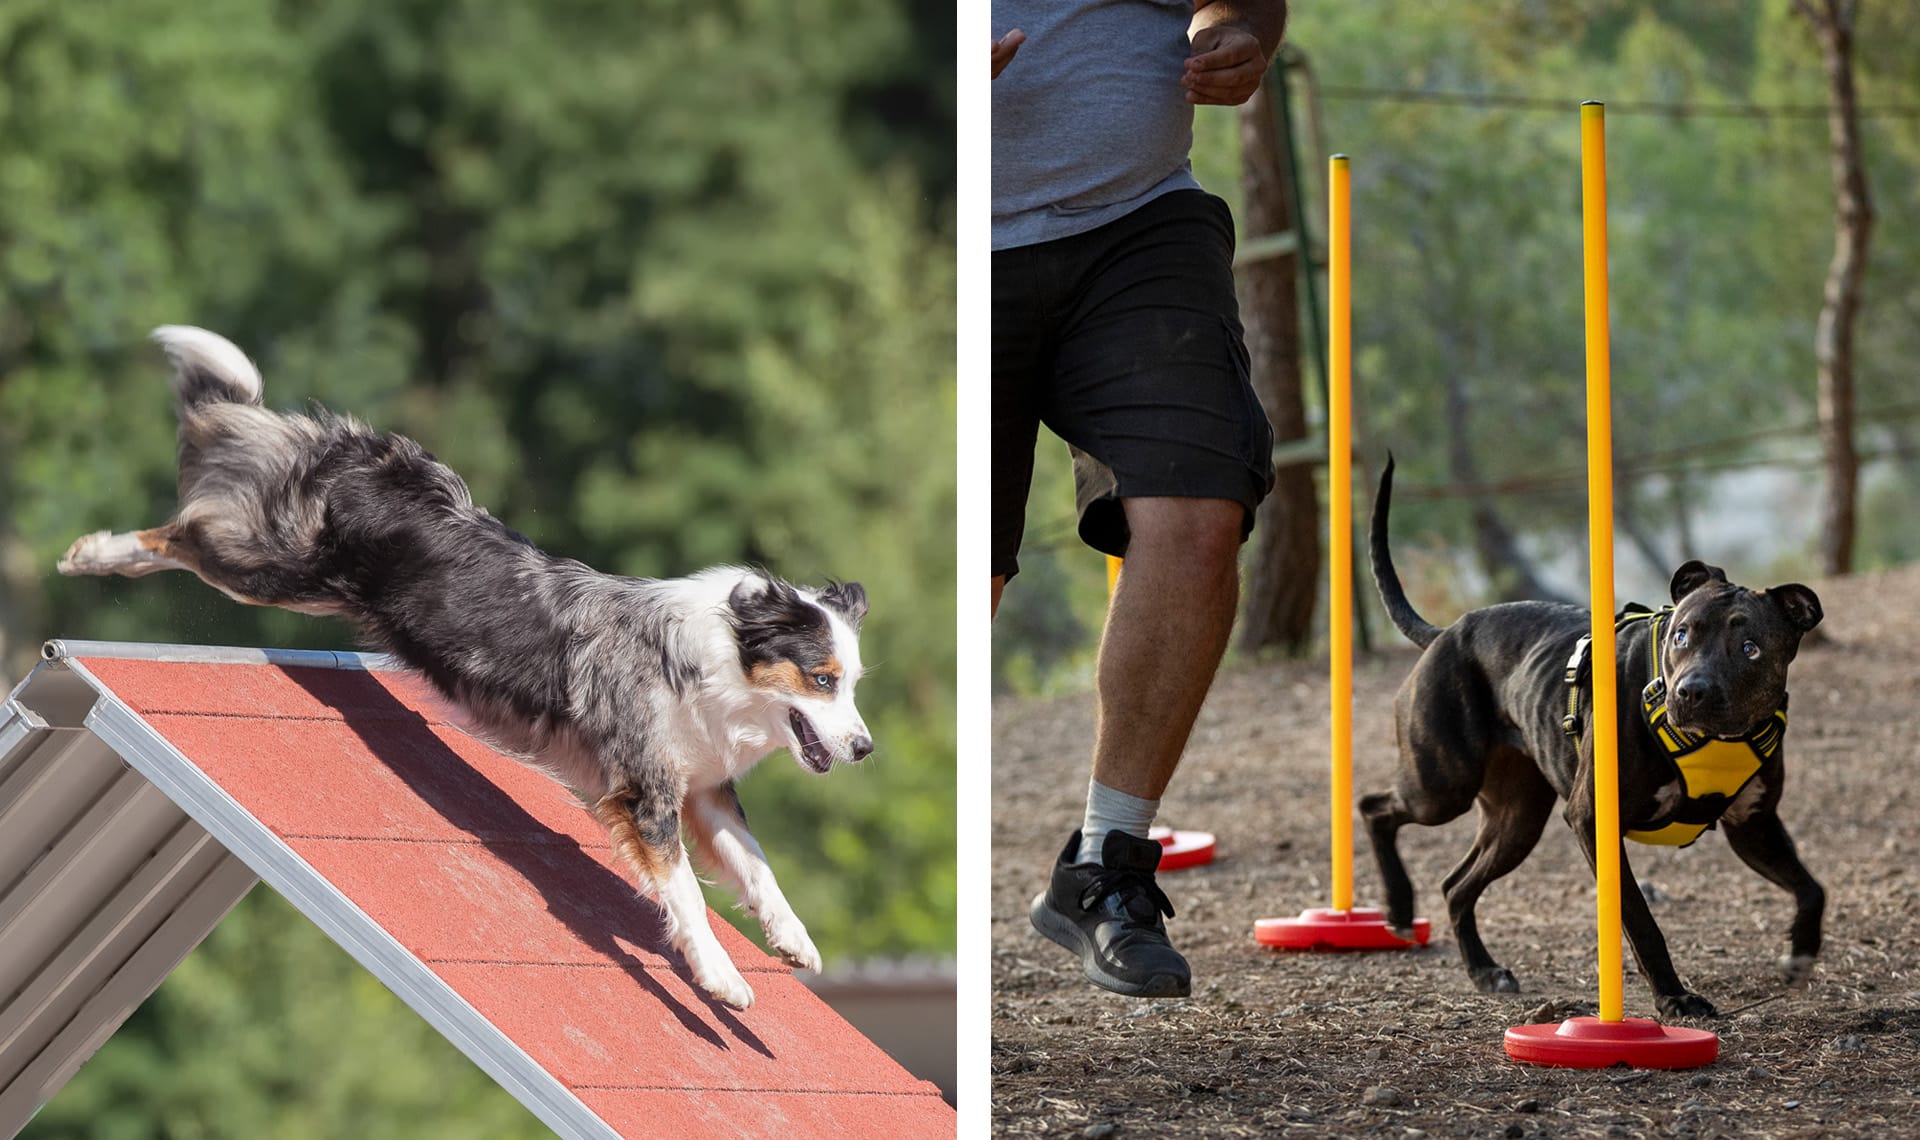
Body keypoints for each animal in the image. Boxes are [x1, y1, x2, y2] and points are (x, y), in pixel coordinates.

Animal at [58, 326, 871, 1005]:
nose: (865, 747)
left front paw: (794, 940)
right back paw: (93, 552)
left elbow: (759, 866)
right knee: (182, 531)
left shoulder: (703, 788)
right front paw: (721, 978)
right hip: (273, 568)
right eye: (822, 679)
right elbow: (689, 896)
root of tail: (368, 455)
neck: (716, 662)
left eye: (853, 684)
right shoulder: (646, 792)